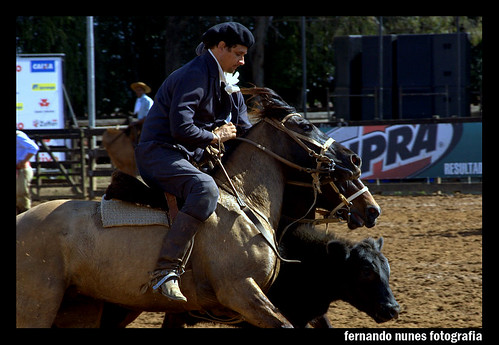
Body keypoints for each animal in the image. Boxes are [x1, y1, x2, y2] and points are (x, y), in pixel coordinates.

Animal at [17, 87, 364, 326]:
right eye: (304, 126)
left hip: (79, 307)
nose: (354, 161)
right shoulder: (242, 293)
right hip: (36, 307)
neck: (244, 205)